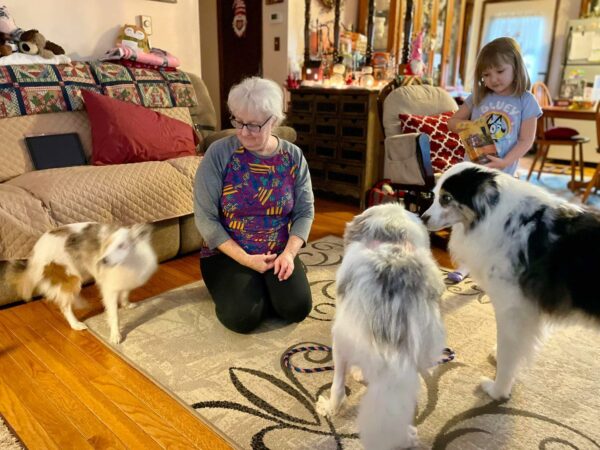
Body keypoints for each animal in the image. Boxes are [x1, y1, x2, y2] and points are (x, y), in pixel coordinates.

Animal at [8, 222, 157, 344]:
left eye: (122, 246)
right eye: (106, 246)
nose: (103, 261)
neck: (128, 263)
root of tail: (36, 251)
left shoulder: (127, 279)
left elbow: (125, 292)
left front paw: (127, 304)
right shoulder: (109, 289)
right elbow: (114, 315)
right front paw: (115, 336)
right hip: (72, 278)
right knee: (65, 306)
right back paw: (76, 325)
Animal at [422, 163, 600, 400]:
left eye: (447, 198)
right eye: (434, 195)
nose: (422, 217)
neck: (494, 216)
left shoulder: (512, 308)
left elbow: (508, 352)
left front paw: (497, 390)